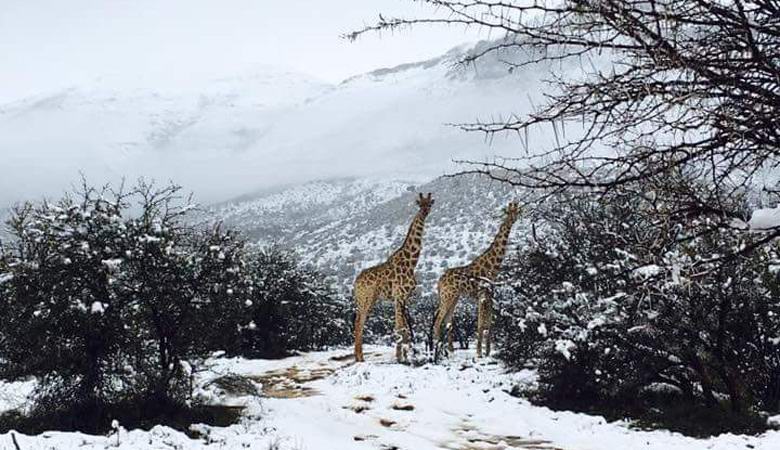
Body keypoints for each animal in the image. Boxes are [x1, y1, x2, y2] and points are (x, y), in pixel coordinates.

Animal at [353, 192, 435, 363]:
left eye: (429, 203)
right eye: (420, 204)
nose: (424, 212)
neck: (411, 262)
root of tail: (356, 282)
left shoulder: (404, 297)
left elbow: (404, 328)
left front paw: (406, 356)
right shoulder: (399, 295)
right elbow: (399, 327)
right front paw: (400, 358)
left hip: (366, 300)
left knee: (358, 322)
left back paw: (358, 356)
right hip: (366, 299)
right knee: (359, 323)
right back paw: (360, 358)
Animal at [433, 202, 521, 360]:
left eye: (517, 210)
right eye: (509, 211)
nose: (514, 218)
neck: (493, 266)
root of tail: (439, 282)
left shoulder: (490, 294)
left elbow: (490, 323)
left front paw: (488, 351)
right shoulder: (482, 294)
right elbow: (480, 323)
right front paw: (480, 352)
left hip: (454, 297)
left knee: (448, 320)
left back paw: (450, 351)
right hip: (447, 296)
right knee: (438, 321)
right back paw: (438, 352)